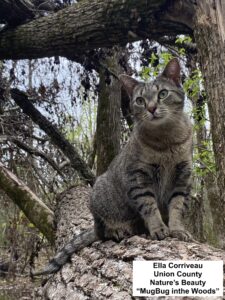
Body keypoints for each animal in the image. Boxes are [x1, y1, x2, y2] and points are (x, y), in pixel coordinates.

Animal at [32, 57, 192, 276]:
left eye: (163, 94)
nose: (151, 108)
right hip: (100, 195)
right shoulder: (138, 177)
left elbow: (176, 206)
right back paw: (119, 229)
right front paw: (159, 229)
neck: (167, 141)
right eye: (140, 100)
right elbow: (149, 206)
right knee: (104, 231)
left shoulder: (182, 177)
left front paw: (177, 229)